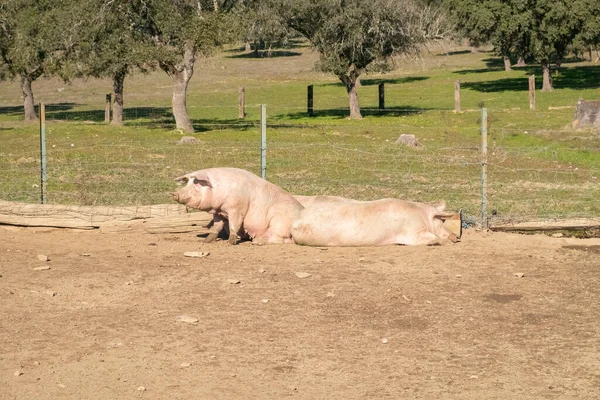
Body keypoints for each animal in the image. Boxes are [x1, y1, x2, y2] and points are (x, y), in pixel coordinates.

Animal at [173, 166, 304, 244]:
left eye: (197, 184)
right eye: (187, 183)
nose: (174, 193)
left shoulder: (236, 209)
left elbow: (234, 225)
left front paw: (230, 242)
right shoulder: (218, 213)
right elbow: (216, 227)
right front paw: (206, 241)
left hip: (278, 221)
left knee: (277, 239)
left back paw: (257, 241)